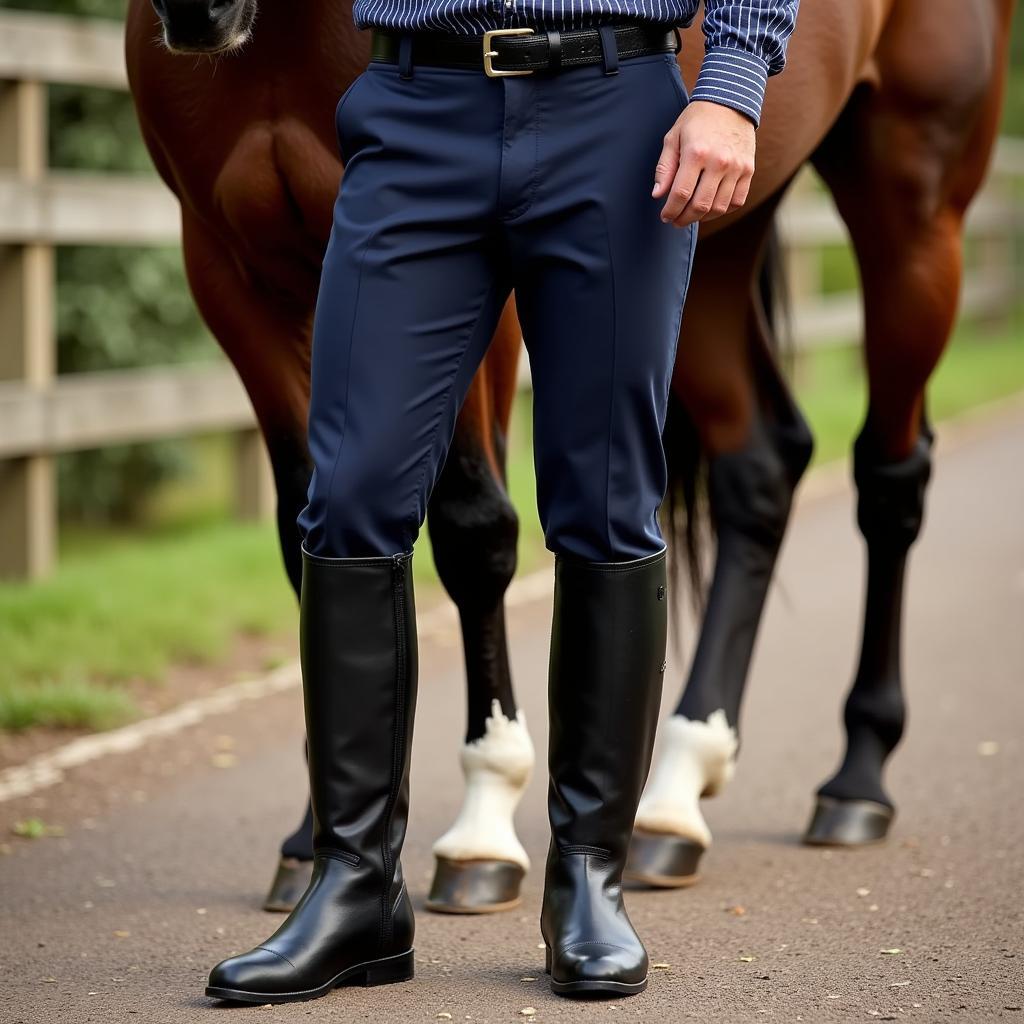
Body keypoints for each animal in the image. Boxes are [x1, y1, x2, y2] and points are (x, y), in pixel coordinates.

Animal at [128, 0, 1015, 913]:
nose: (196, 11)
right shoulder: (233, 276)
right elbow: (307, 537)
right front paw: (313, 839)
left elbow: (473, 530)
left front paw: (483, 823)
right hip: (714, 243)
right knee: (763, 465)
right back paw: (675, 795)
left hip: (913, 211)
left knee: (890, 478)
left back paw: (857, 781)